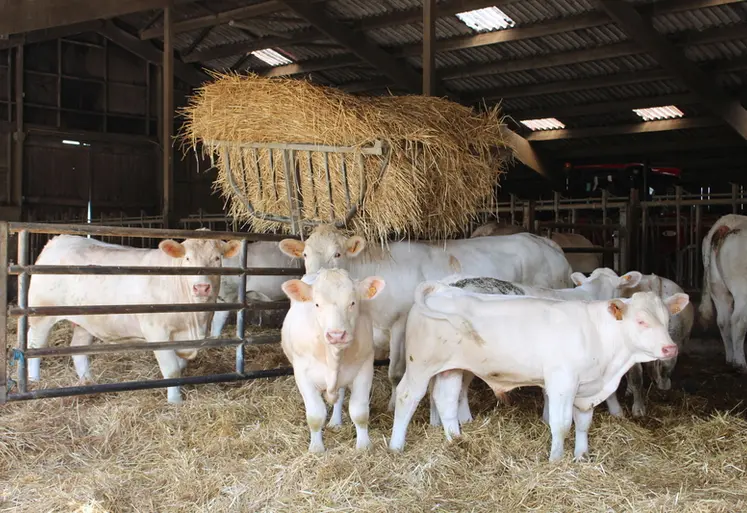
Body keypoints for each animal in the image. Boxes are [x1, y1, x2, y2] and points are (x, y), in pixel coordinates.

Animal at [27, 234, 240, 404]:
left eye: (217, 258)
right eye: (188, 258)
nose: (201, 287)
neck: (195, 320)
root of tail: (58, 240)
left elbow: (180, 365)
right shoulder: (156, 331)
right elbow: (171, 369)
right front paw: (175, 401)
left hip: (85, 321)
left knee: (79, 350)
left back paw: (88, 382)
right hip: (41, 314)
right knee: (34, 346)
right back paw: (34, 381)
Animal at [278, 224, 574, 411]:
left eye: (337, 254)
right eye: (305, 254)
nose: (311, 280)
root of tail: (546, 242)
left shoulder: (400, 324)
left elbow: (395, 372)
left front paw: (392, 404)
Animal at [280, 268, 385, 453]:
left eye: (352, 303)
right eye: (316, 304)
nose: (336, 335)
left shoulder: (365, 368)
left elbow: (359, 412)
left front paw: (364, 446)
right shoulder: (302, 375)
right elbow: (315, 415)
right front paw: (316, 448)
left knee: (340, 396)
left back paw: (335, 422)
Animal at [699, 213, 747, 371]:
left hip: (717, 288)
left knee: (723, 321)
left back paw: (730, 358)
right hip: (742, 289)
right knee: (738, 320)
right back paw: (740, 363)